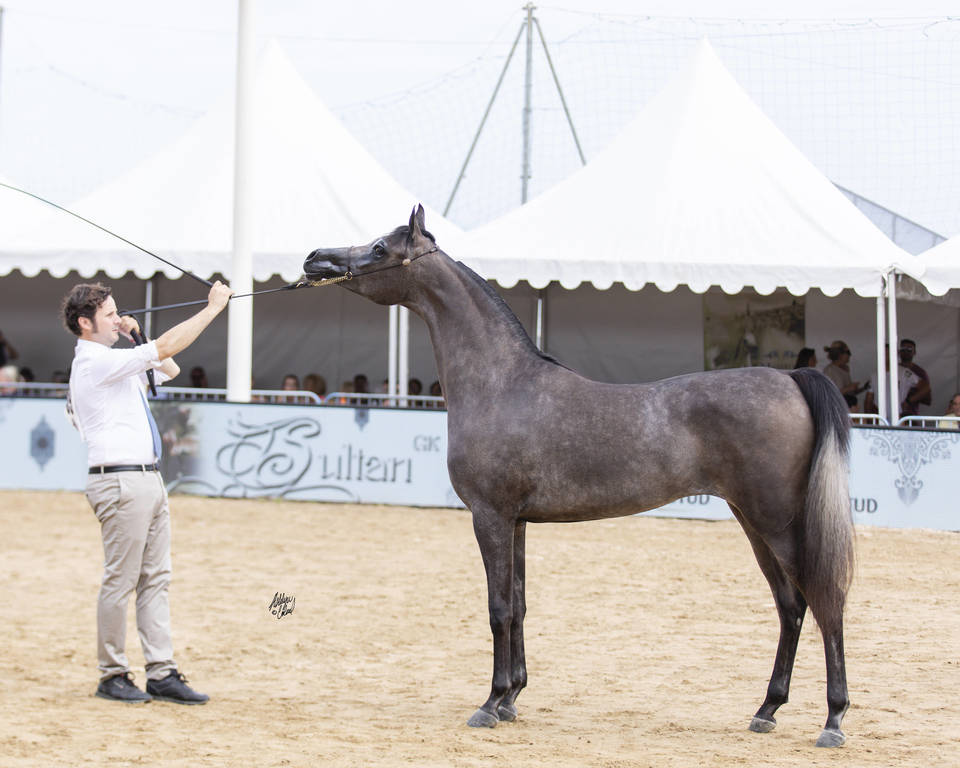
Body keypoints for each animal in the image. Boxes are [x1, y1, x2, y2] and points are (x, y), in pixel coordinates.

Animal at [304, 206, 855, 748]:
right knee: (790, 606)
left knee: (824, 603)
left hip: (777, 523)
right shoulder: (518, 522)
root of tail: (789, 378)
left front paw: (489, 703)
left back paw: (832, 720)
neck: (501, 384)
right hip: (753, 521)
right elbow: (520, 606)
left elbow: (498, 608)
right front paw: (512, 700)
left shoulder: (490, 517)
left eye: (380, 248)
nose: (314, 260)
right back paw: (767, 709)